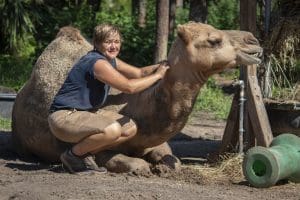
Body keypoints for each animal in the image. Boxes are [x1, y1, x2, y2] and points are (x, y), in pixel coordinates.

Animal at [11, 22, 262, 173]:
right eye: (214, 40)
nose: (253, 40)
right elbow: (129, 161)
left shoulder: (155, 141)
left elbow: (172, 159)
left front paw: (165, 166)